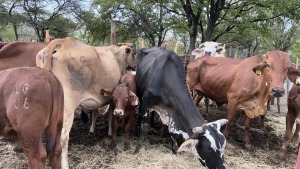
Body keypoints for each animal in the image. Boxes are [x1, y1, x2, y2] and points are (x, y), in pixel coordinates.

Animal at [35, 37, 137, 169]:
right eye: (134, 53)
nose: (135, 66)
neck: (117, 56)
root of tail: (62, 42)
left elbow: (95, 113)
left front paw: (92, 130)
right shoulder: (111, 98)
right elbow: (110, 114)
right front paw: (109, 132)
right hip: (67, 108)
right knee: (63, 137)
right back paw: (65, 164)